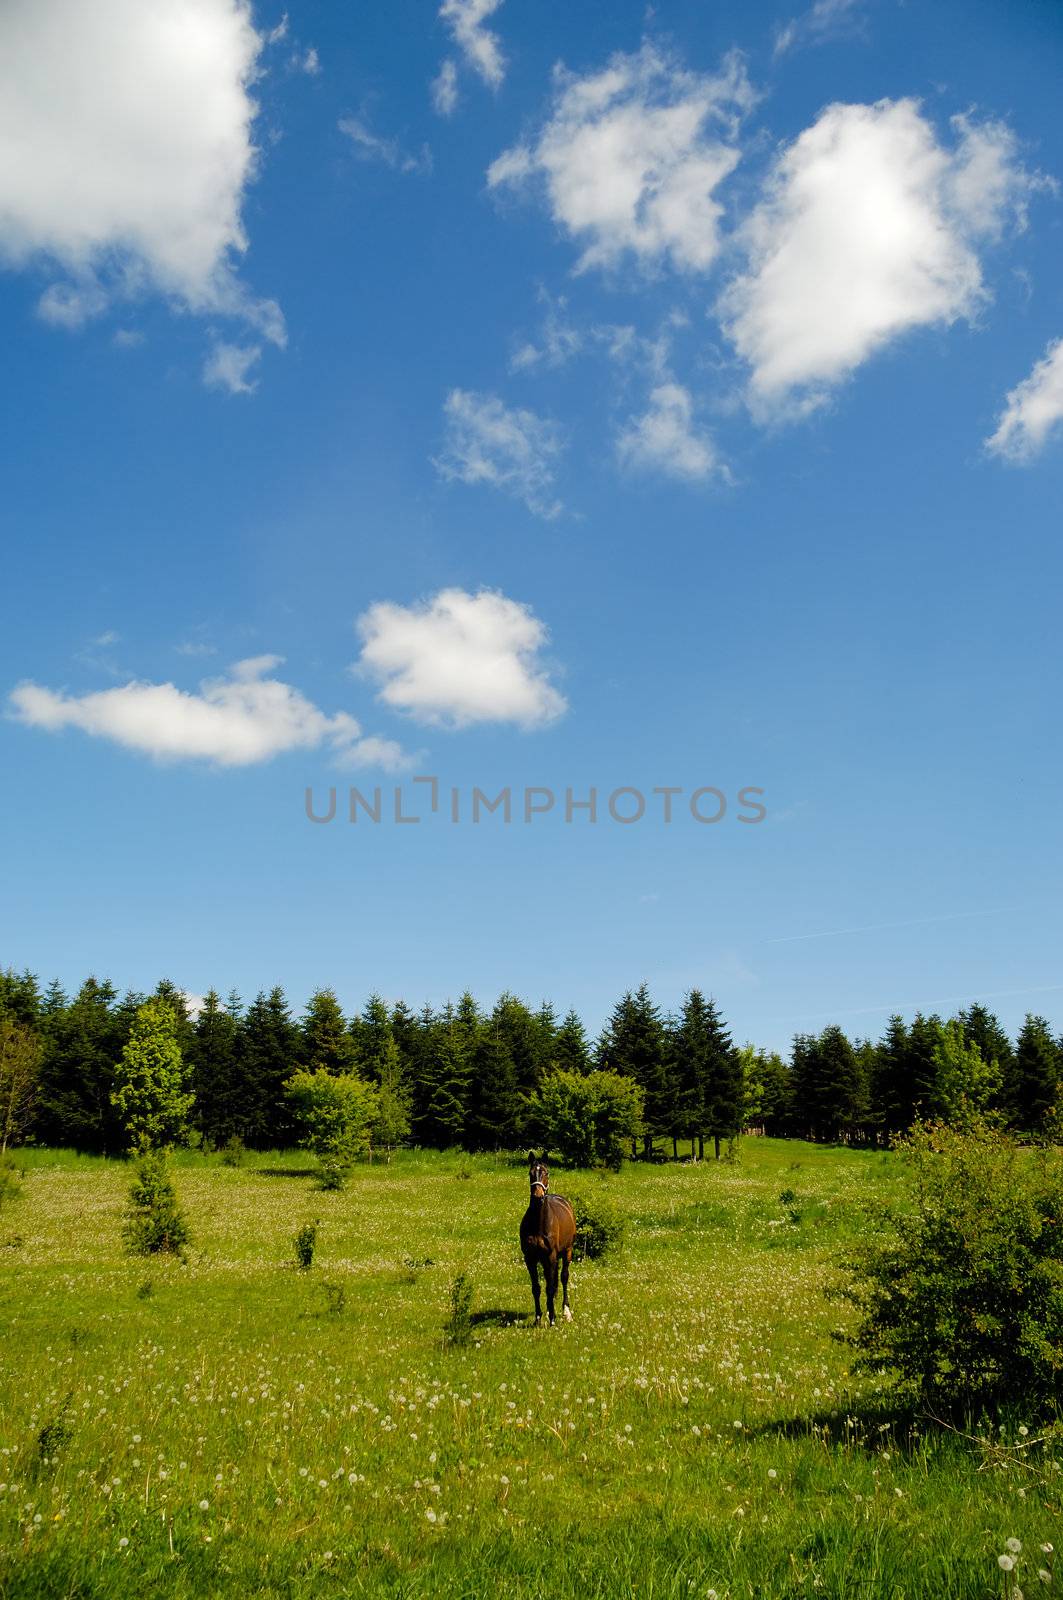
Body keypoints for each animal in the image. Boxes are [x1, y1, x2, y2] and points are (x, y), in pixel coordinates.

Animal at [518, 1152, 576, 1324]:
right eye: (530, 1173)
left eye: (546, 1173)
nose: (538, 1196)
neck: (539, 1221)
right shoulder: (530, 1258)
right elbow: (536, 1287)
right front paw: (538, 1318)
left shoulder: (551, 1256)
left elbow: (550, 1287)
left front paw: (552, 1319)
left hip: (567, 1252)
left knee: (563, 1278)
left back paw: (566, 1312)